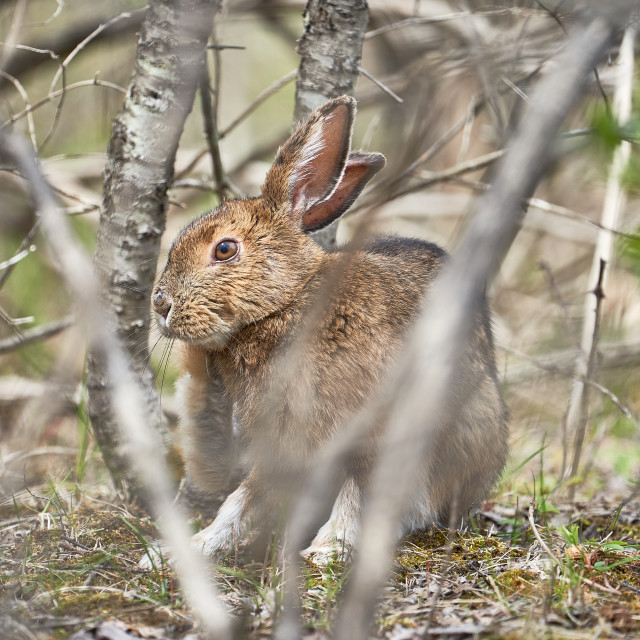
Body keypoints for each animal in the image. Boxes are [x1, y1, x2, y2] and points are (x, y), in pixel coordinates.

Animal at [148, 95, 508, 564]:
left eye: (224, 249)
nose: (160, 304)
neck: (289, 304)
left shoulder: (372, 431)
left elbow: (357, 492)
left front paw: (327, 550)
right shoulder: (277, 444)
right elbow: (243, 498)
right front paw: (190, 548)